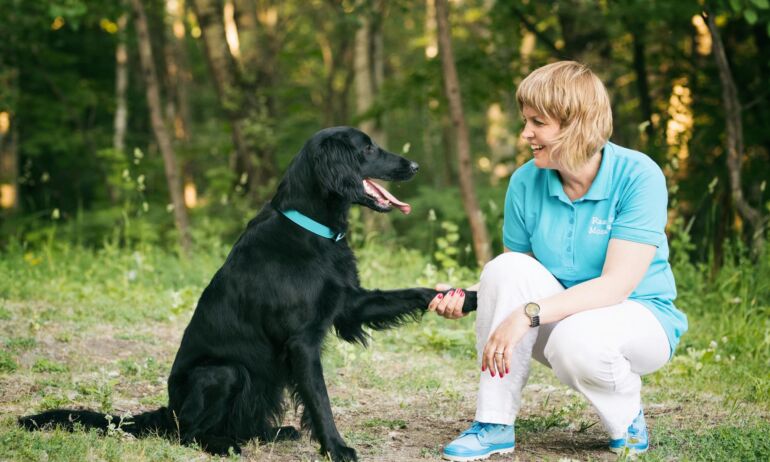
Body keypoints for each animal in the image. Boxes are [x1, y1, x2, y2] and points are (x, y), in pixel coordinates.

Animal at [19, 127, 474, 462]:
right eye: (367, 147)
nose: (414, 165)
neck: (310, 229)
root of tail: (169, 411)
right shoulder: (302, 342)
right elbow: (321, 400)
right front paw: (337, 447)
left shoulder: (348, 305)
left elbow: (416, 291)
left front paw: (466, 296)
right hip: (224, 372)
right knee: (191, 434)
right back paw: (224, 445)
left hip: (264, 382)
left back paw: (274, 432)